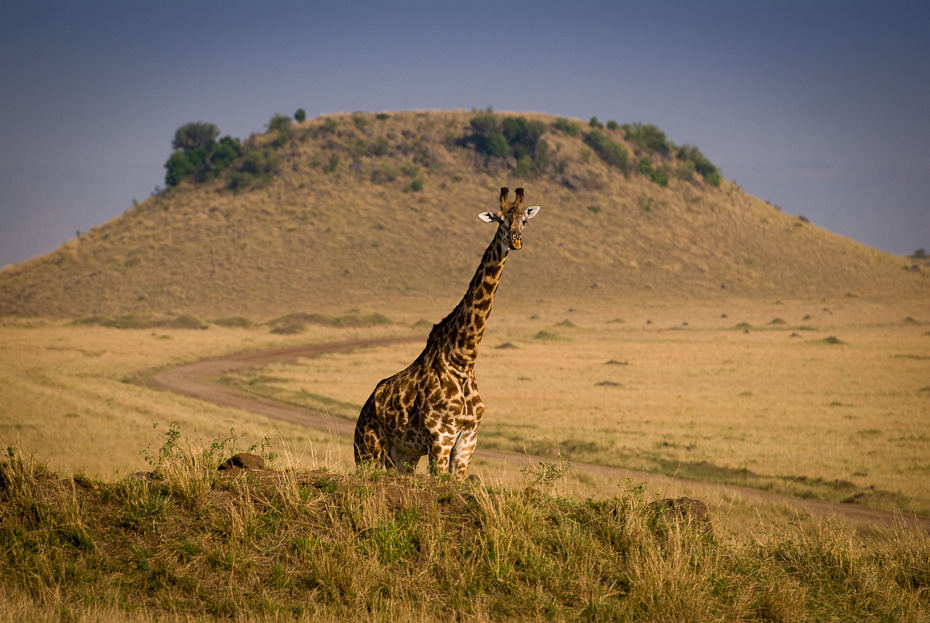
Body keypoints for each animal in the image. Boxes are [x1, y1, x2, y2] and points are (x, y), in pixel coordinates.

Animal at [354, 188, 540, 480]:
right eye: (499, 220)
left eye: (524, 221)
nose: (516, 241)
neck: (463, 361)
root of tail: (364, 407)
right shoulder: (440, 438)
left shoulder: (467, 439)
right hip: (366, 449)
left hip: (402, 455)